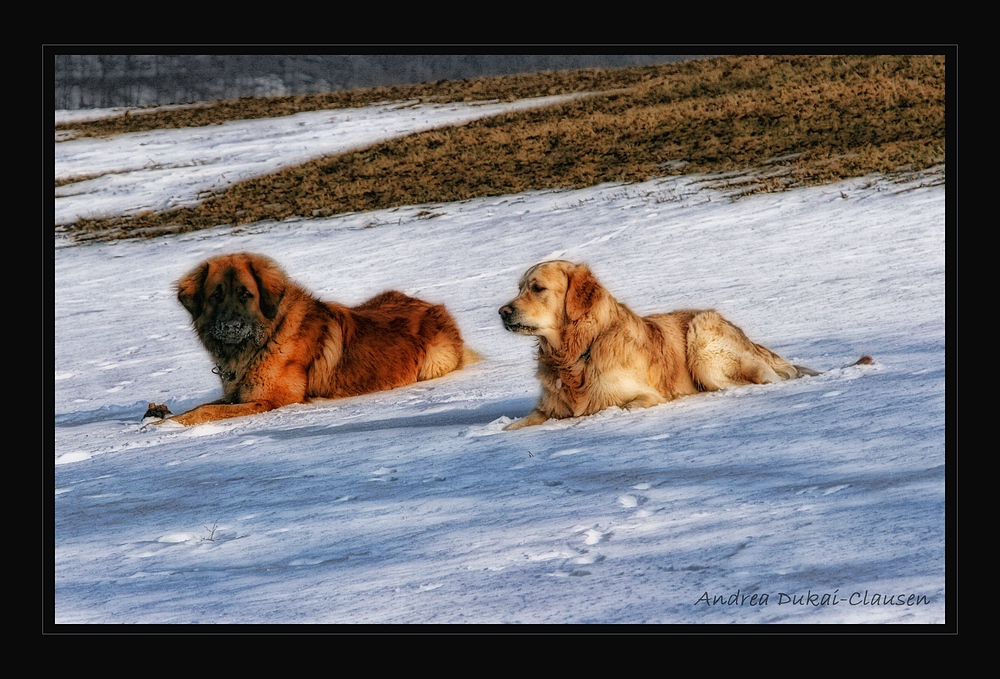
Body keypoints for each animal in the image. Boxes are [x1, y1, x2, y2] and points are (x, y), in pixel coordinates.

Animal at [165, 252, 476, 428]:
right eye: (216, 296)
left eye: (245, 295)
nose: (231, 326)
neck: (266, 338)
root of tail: (434, 306)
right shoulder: (238, 394)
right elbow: (203, 406)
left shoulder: (271, 401)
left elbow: (208, 410)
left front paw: (169, 425)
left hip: (435, 361)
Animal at [500, 260, 844, 430]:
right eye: (519, 288)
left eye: (537, 288)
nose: (502, 312)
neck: (575, 355)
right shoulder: (546, 410)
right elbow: (515, 426)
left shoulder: (643, 396)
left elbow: (616, 406)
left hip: (702, 342)